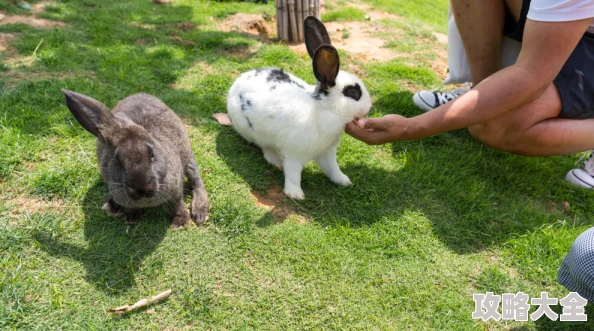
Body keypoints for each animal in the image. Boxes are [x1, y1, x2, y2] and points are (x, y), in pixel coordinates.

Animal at [61, 91, 209, 231]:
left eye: (152, 154)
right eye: (117, 160)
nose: (142, 189)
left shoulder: (176, 189)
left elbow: (177, 204)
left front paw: (180, 222)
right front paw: (131, 217)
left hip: (188, 160)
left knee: (197, 181)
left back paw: (200, 213)